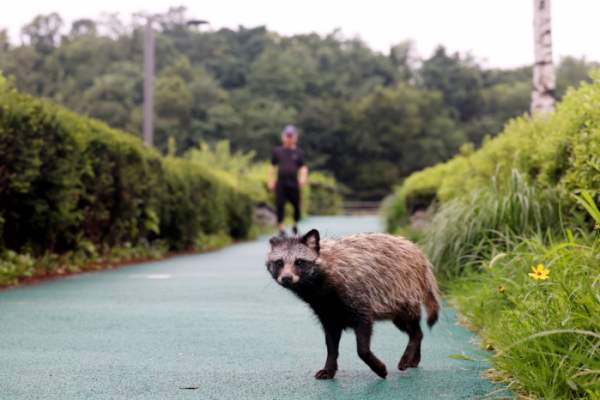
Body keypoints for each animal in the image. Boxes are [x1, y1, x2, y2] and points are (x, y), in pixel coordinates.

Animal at [266, 230, 440, 380]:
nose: (286, 278)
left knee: (415, 330)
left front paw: (379, 368)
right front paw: (329, 367)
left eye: (299, 262)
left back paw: (407, 356)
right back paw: (414, 356)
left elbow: (362, 348)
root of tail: (420, 255)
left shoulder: (358, 299)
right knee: (416, 330)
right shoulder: (327, 312)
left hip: (403, 294)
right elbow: (331, 345)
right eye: (279, 263)